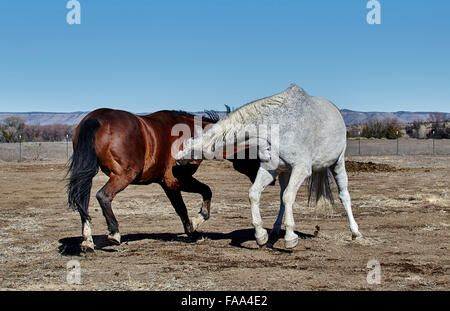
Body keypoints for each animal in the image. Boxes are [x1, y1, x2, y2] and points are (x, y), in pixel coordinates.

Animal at [68, 108, 262, 252]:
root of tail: (97, 117)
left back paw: (87, 241)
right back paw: (114, 233)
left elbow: (183, 206)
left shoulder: (166, 184)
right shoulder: (175, 180)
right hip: (124, 175)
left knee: (82, 202)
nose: (260, 176)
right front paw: (195, 226)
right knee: (103, 196)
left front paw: (193, 228)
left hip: (88, 175)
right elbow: (199, 197)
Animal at [176, 85, 362, 251]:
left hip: (337, 163)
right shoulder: (270, 169)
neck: (278, 126)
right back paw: (274, 230)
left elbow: (288, 197)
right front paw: (261, 236)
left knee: (343, 195)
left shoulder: (301, 168)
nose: (177, 160)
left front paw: (290, 238)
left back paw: (355, 233)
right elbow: (254, 194)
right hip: (285, 173)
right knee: (281, 199)